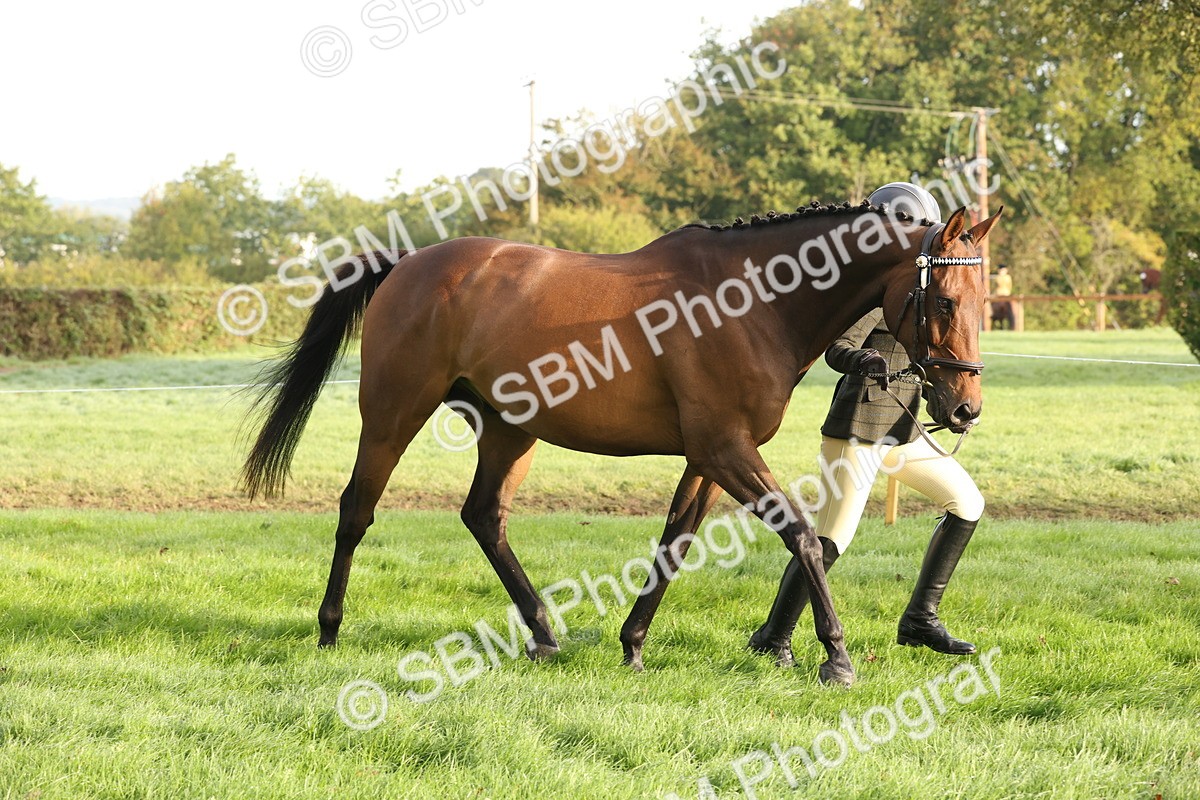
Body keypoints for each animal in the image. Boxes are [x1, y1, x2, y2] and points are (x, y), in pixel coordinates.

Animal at [242, 200, 1002, 687]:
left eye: (983, 301)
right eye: (943, 301)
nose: (965, 408)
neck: (753, 301)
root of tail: (407, 263)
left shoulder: (707, 457)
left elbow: (675, 543)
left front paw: (633, 646)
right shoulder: (726, 449)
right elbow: (804, 538)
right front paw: (836, 657)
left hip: (510, 430)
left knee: (484, 517)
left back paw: (545, 634)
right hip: (393, 414)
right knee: (356, 510)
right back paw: (329, 627)